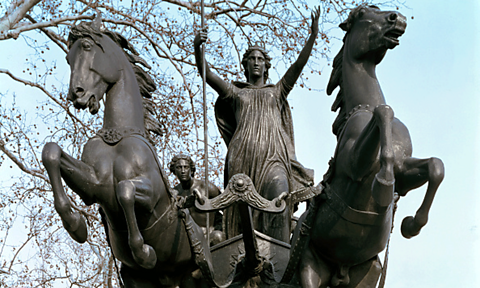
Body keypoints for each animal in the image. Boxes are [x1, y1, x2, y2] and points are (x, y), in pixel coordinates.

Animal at [41, 17, 204, 286]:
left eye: (87, 46)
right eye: (67, 58)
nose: (76, 94)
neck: (116, 137)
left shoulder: (152, 194)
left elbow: (125, 190)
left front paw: (145, 253)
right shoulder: (95, 186)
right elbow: (51, 152)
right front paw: (76, 225)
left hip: (193, 274)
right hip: (139, 279)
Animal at [294, 5, 444, 288]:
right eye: (363, 13)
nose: (398, 18)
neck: (363, 105)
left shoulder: (404, 173)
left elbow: (435, 167)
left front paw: (411, 224)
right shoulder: (354, 163)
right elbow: (384, 111)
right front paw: (383, 186)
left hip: (367, 273)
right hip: (309, 268)